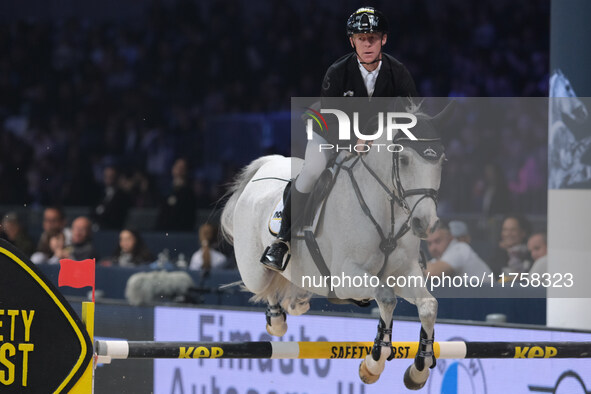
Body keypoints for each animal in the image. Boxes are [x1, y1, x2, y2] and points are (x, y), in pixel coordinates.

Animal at [222, 103, 454, 390]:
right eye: (404, 160)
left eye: (441, 161)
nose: (425, 223)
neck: (385, 209)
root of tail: (266, 166)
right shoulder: (347, 277)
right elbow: (386, 298)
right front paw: (374, 363)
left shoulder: (404, 273)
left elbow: (428, 306)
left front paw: (419, 368)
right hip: (253, 269)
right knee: (265, 284)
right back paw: (276, 318)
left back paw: (297, 301)